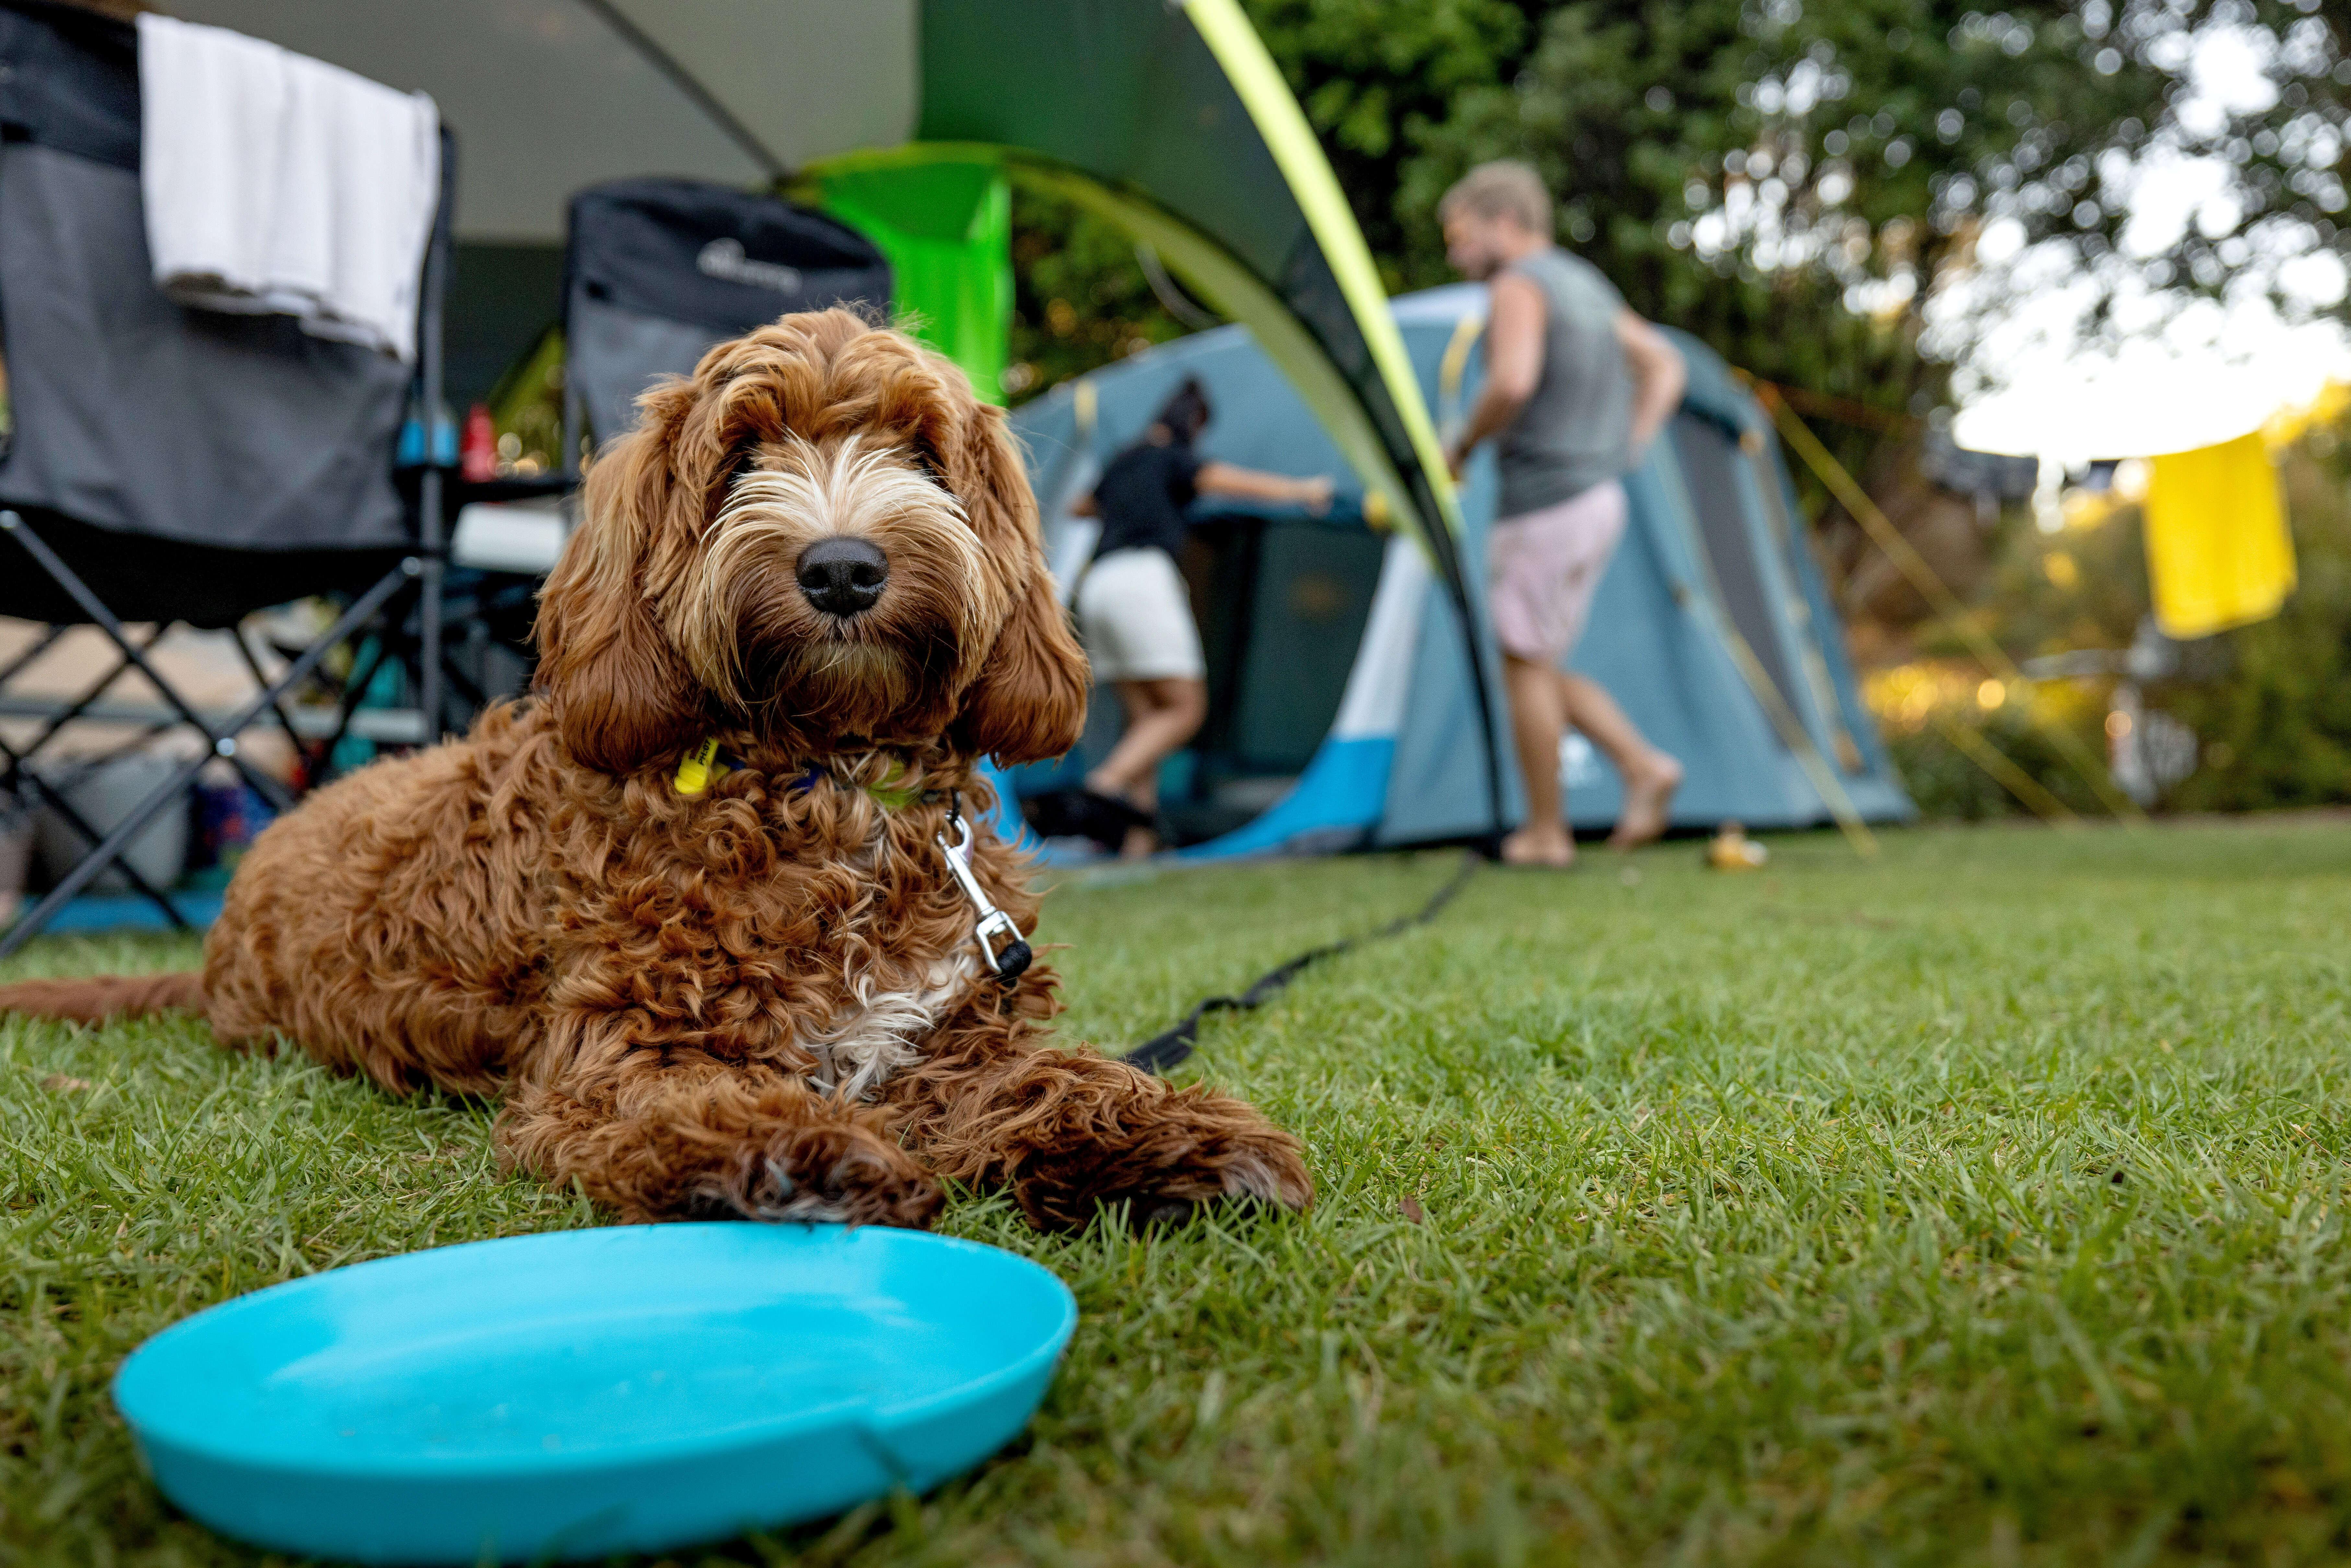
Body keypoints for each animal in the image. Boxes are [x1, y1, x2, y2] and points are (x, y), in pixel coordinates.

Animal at [0, 310, 1316, 1241]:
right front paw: (800, 1152)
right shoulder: (613, 1052)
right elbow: (691, 1098)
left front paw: (1168, 1136)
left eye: (920, 453)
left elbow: (1051, 1076)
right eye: (740, 457)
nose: (843, 568)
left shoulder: (945, 1041)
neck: (825, 776)